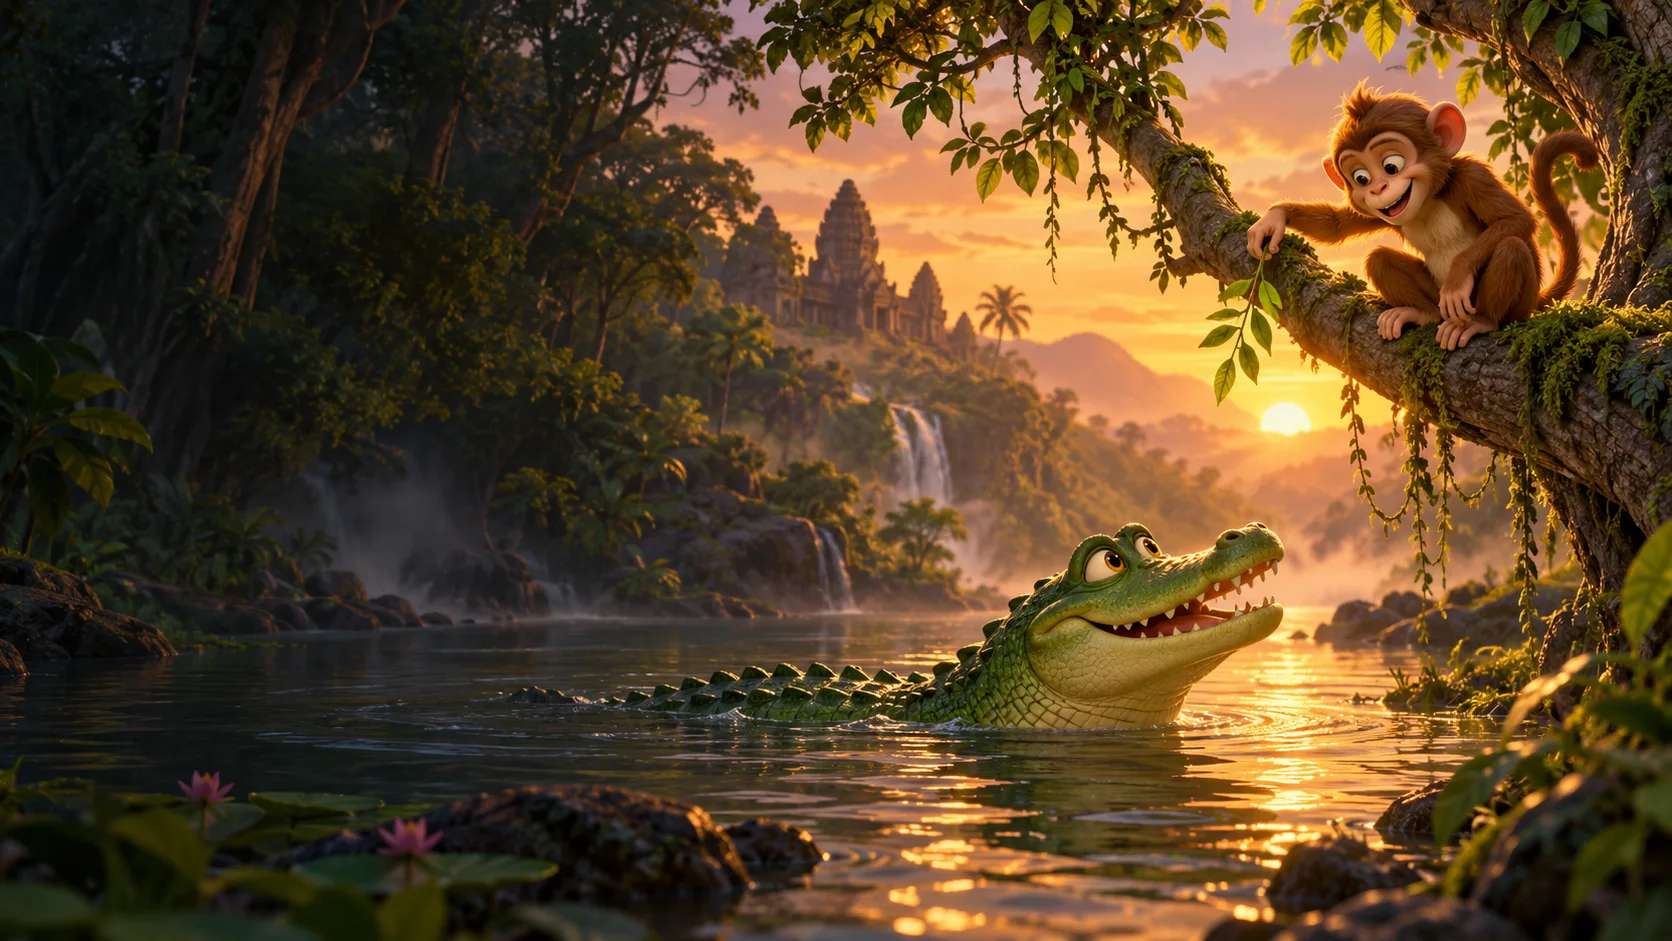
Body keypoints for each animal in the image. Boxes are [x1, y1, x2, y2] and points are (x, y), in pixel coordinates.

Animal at [1244, 83, 1597, 350]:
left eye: (1391, 165)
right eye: (1361, 178)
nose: (1379, 188)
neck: (1428, 198)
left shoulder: (1473, 176)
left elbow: (1517, 220)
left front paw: (1458, 276)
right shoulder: (1383, 212)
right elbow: (1337, 226)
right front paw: (1274, 218)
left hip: (1516, 307)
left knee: (1511, 248)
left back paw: (1482, 321)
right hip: (1436, 297)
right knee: (1379, 259)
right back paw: (1422, 314)